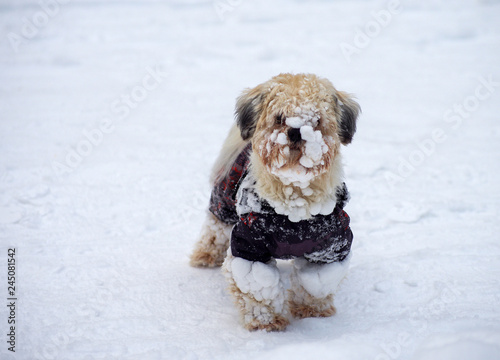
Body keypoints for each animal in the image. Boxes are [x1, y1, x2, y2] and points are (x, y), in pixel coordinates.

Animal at [188, 73, 360, 332]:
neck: (294, 204)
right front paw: (266, 322)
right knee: (214, 230)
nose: (296, 132)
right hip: (223, 200)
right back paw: (205, 255)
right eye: (279, 118)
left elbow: (316, 282)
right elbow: (257, 288)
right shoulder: (249, 244)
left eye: (317, 120)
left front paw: (313, 312)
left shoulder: (330, 245)